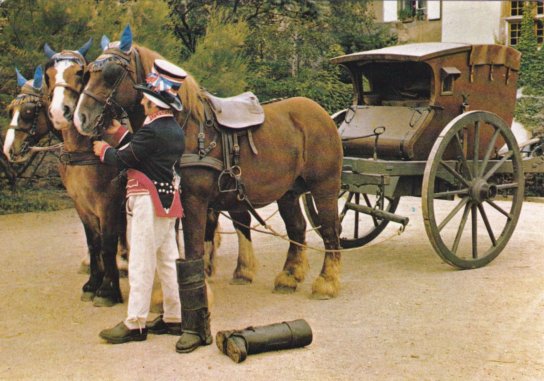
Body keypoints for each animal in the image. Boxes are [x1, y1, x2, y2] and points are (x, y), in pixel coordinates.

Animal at [39, 40, 126, 306]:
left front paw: (108, 290)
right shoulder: (81, 203)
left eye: (80, 73)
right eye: (48, 75)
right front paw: (93, 283)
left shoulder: (109, 202)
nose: (60, 112)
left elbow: (107, 243)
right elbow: (94, 242)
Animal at [74, 27, 342, 300]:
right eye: (88, 73)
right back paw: (289, 277)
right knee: (297, 228)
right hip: (288, 192)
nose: (81, 118)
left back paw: (326, 282)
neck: (185, 127)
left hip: (325, 187)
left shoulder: (195, 201)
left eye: (112, 73)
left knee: (331, 230)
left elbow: (194, 247)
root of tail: (322, 113)